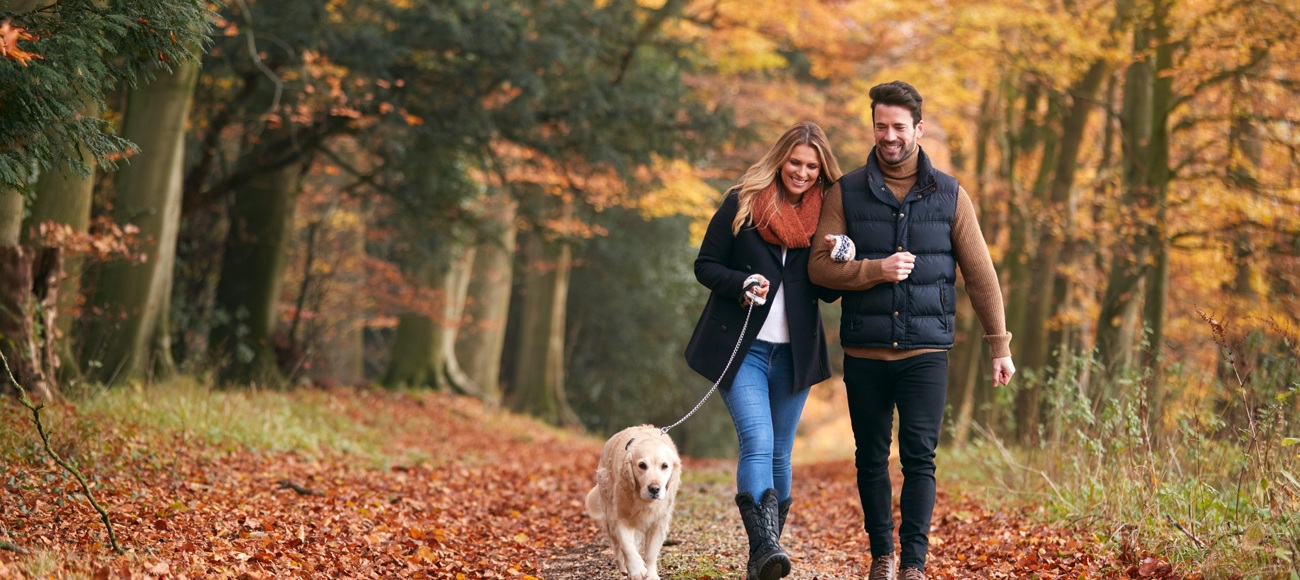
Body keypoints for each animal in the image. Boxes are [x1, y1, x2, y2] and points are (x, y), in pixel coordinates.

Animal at [582, 421, 676, 580]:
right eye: (642, 465)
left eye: (665, 466)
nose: (654, 489)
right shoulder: (620, 516)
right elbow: (626, 545)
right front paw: (636, 569)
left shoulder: (659, 522)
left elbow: (650, 554)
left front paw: (650, 575)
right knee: (618, 550)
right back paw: (625, 569)